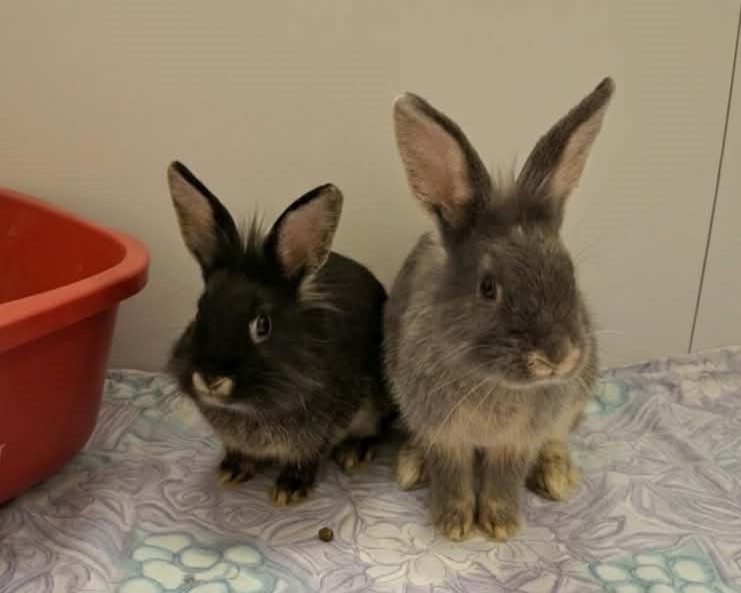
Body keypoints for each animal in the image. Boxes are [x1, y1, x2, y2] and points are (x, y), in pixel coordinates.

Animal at [166, 161, 395, 505]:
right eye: (199, 311)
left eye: (263, 325)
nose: (210, 379)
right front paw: (231, 471)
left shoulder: (319, 432)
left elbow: (305, 458)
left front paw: (289, 489)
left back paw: (355, 451)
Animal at [384, 77, 615, 541]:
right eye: (488, 288)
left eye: (569, 272)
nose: (559, 357)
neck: (490, 382)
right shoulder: (442, 433)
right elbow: (452, 474)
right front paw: (454, 524)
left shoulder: (517, 442)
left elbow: (503, 478)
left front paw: (500, 523)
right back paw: (411, 465)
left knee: (557, 438)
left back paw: (558, 475)